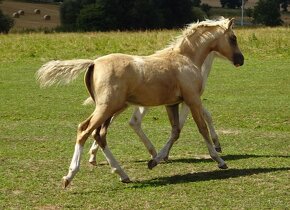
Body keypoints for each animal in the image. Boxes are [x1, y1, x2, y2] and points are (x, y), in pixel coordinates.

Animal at [36, 18, 245, 188]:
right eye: (233, 38)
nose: (241, 60)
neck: (186, 58)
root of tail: (93, 63)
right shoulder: (192, 100)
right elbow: (202, 128)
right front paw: (219, 159)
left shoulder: (172, 104)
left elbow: (176, 131)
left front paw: (155, 160)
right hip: (107, 108)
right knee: (84, 130)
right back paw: (70, 176)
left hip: (111, 109)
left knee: (99, 135)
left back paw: (122, 174)